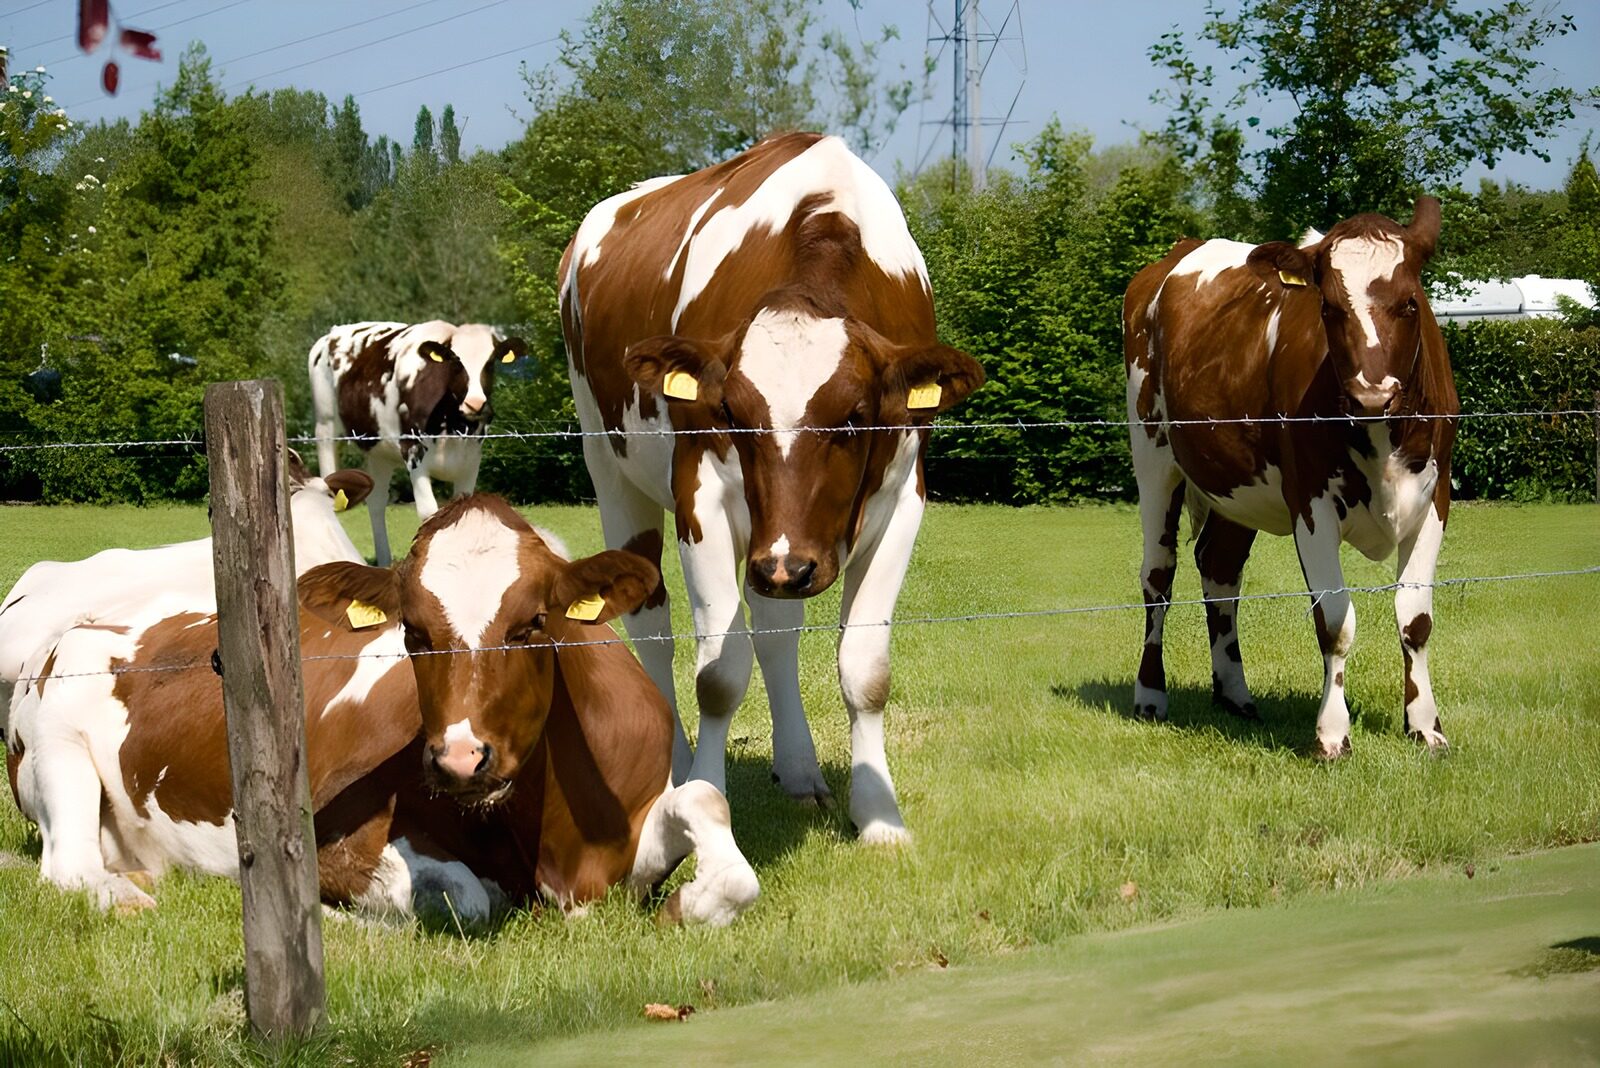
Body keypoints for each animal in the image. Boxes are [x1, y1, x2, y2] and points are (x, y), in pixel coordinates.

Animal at [8, 495, 758, 927]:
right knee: (68, 866)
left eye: (532, 623)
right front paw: (346, 920)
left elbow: (710, 810)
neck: (560, 843)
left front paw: (692, 902)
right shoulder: (329, 842)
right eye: (413, 633)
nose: (460, 758)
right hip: (55, 746)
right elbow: (466, 896)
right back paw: (124, 892)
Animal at [308, 320, 528, 565]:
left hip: (379, 453)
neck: (452, 429)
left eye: (490, 363)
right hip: (326, 429)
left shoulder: (472, 459)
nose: (475, 403)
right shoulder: (413, 453)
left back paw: (384, 561)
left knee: (376, 502)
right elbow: (429, 512)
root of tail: (333, 332)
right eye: (455, 362)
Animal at [559, 132, 983, 844]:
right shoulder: (699, 495)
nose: (789, 564)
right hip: (612, 470)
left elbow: (864, 667)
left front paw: (879, 815)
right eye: (731, 411)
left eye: (855, 415)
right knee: (653, 627)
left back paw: (801, 770)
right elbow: (718, 675)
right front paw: (705, 802)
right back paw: (673, 770)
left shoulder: (902, 498)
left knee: (776, 627)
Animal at [1123, 197, 1459, 759]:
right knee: (1158, 577)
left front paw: (1425, 726)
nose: (1371, 395)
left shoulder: (1436, 497)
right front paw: (1332, 733)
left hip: (1236, 485)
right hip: (1152, 456)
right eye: (1328, 309)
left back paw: (1234, 694)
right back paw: (1150, 695)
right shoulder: (1311, 501)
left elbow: (1415, 618)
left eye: (1410, 304)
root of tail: (1181, 248)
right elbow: (1335, 620)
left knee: (1220, 569)